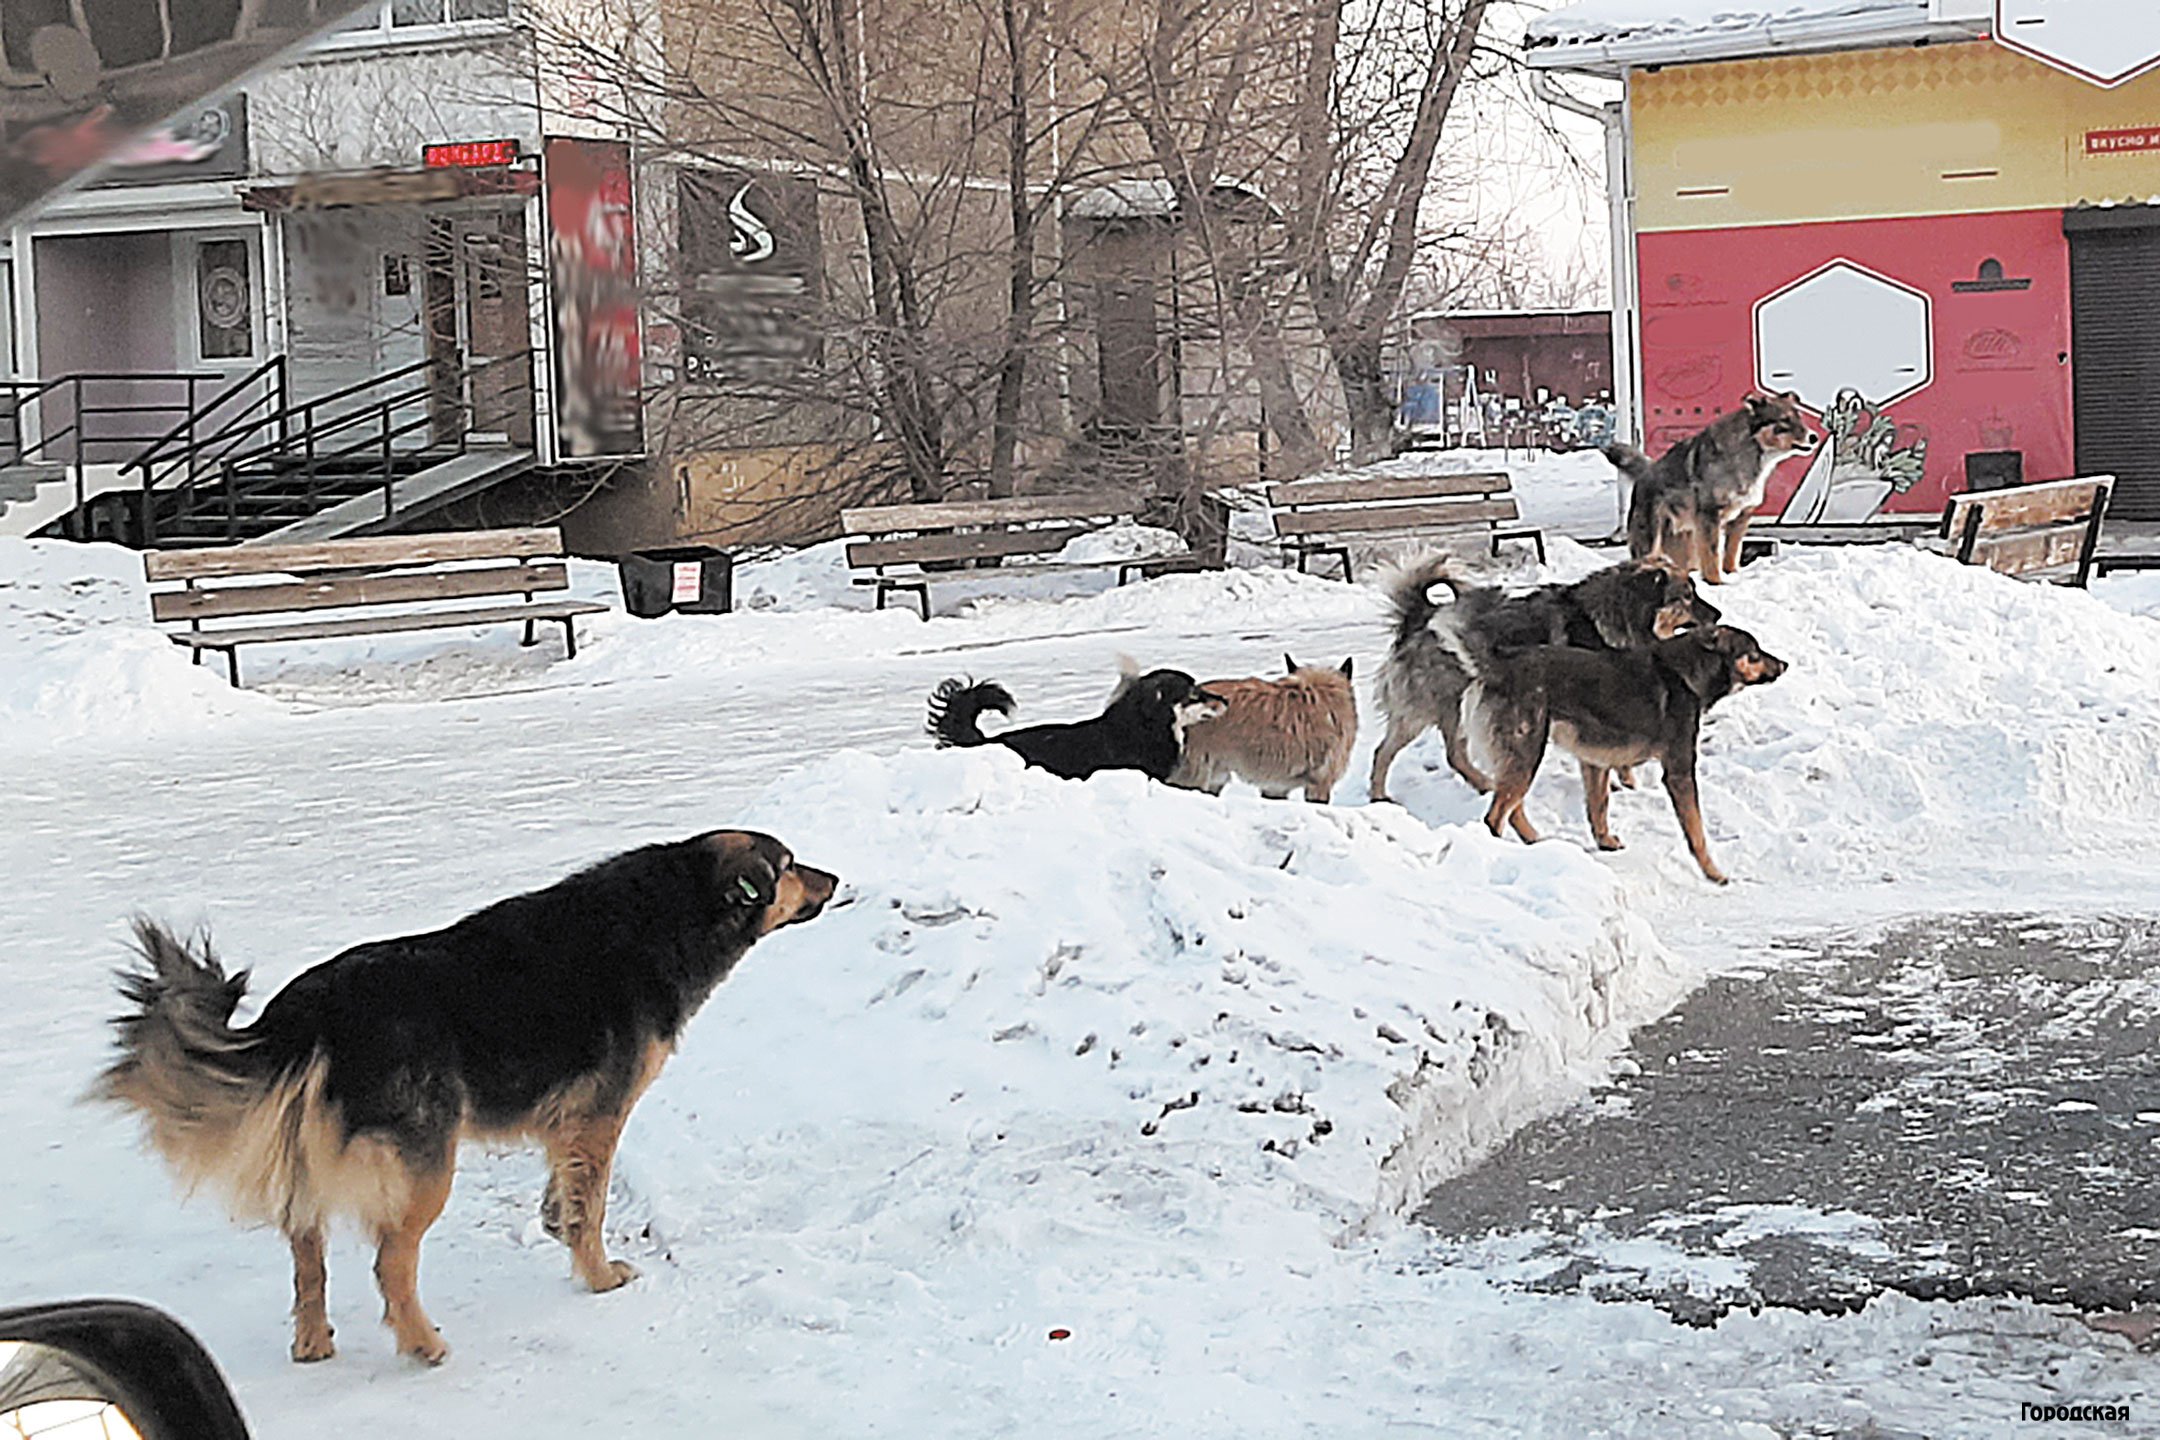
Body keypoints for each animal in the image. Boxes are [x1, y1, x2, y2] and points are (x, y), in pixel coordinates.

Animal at [95, 833, 833, 1364]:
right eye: (790, 865)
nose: (835, 880)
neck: (674, 906)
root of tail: (312, 1011)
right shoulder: (600, 1115)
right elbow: (591, 1205)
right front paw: (598, 1275)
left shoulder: (565, 1124)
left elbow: (565, 1196)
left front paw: (557, 1229)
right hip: (427, 1166)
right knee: (391, 1264)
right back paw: (422, 1344)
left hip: (313, 1168)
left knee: (308, 1259)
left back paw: (312, 1341)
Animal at [1365, 557, 1719, 798]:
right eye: (1687, 596)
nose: (1717, 614)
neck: (1612, 617)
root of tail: (1418, 616)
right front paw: (1625, 779)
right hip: (1434, 704)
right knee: (1393, 753)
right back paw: (1381, 796)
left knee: (1444, 754)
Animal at [1468, 626, 1788, 885]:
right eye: (1754, 653)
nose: (1784, 664)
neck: (1690, 673)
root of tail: (1498, 667)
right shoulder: (1680, 771)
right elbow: (1697, 834)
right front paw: (1714, 874)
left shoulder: (1595, 762)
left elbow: (1598, 807)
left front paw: (1606, 842)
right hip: (1527, 753)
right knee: (1496, 817)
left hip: (1522, 758)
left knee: (1512, 809)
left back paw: (1534, 842)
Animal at [1615, 390, 1814, 582]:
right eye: (1784, 420)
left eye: (1799, 417)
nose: (1813, 437)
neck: (1750, 450)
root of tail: (1646, 472)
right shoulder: (1710, 515)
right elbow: (1712, 555)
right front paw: (1716, 582)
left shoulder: (1742, 516)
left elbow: (1732, 552)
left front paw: (1731, 575)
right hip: (1651, 540)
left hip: (1684, 541)